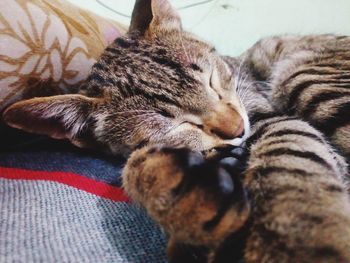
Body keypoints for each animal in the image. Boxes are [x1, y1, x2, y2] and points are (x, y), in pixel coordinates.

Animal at [2, 0, 350, 263]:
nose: (237, 127)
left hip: (304, 74)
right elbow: (136, 163)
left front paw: (297, 235)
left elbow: (291, 159)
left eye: (211, 79)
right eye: (178, 124)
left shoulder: (267, 113)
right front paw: (184, 196)